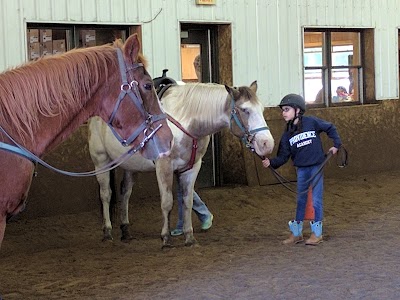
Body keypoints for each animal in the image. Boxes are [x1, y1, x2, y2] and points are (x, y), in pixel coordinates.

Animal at [88, 81, 274, 247]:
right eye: (245, 110)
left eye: (262, 109)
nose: (267, 143)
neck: (184, 121)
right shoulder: (164, 166)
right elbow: (167, 202)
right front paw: (165, 239)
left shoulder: (192, 167)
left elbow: (187, 201)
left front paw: (189, 238)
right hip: (101, 161)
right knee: (106, 194)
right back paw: (107, 232)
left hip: (131, 166)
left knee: (125, 193)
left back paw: (126, 231)